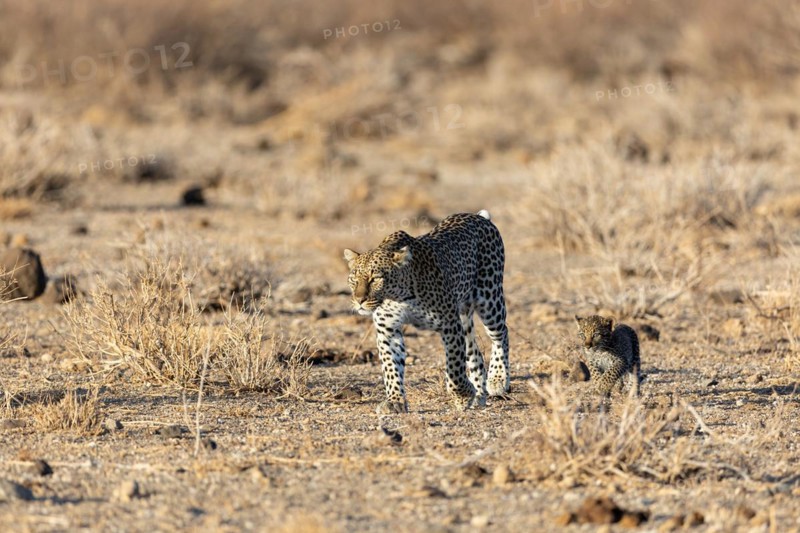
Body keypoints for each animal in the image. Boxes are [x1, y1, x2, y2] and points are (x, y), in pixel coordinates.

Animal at [343, 210, 509, 414]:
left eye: (375, 279)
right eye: (353, 279)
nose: (359, 300)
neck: (399, 296)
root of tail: (479, 217)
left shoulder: (449, 325)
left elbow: (454, 366)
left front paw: (462, 395)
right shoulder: (388, 330)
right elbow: (391, 367)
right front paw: (395, 400)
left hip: (490, 299)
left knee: (501, 334)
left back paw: (497, 379)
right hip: (464, 315)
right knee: (474, 351)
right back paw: (479, 393)